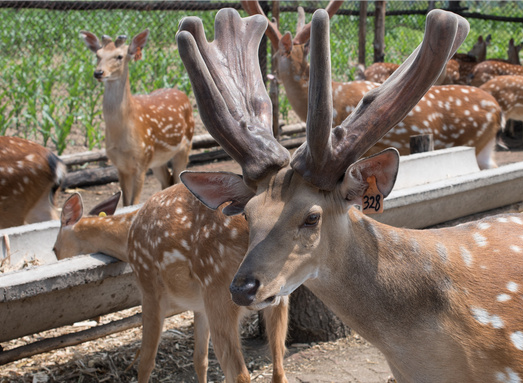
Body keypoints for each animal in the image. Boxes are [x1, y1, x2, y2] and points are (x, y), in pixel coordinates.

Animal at [52, 184, 290, 382]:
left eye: (54, 249)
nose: (56, 255)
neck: (127, 236)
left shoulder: (148, 285)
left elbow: (146, 361)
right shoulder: (200, 305)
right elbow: (200, 359)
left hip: (219, 290)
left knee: (240, 374)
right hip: (276, 297)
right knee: (279, 368)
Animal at [81, 29, 195, 207]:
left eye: (119, 56)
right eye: (98, 55)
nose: (98, 72)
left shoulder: (142, 161)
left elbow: (134, 203)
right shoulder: (120, 166)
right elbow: (126, 204)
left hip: (185, 145)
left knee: (177, 180)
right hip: (158, 160)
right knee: (167, 181)